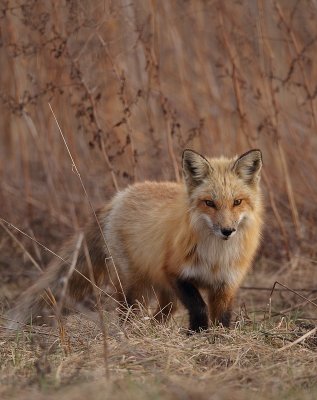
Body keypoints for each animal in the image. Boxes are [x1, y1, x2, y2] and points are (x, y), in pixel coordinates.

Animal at [8, 149, 262, 332]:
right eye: (209, 203)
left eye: (237, 202)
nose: (227, 231)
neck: (216, 256)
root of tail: (118, 197)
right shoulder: (176, 274)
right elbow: (199, 308)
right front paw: (197, 334)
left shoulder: (226, 283)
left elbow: (223, 317)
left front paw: (218, 339)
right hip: (134, 287)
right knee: (128, 313)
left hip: (164, 292)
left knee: (161, 314)